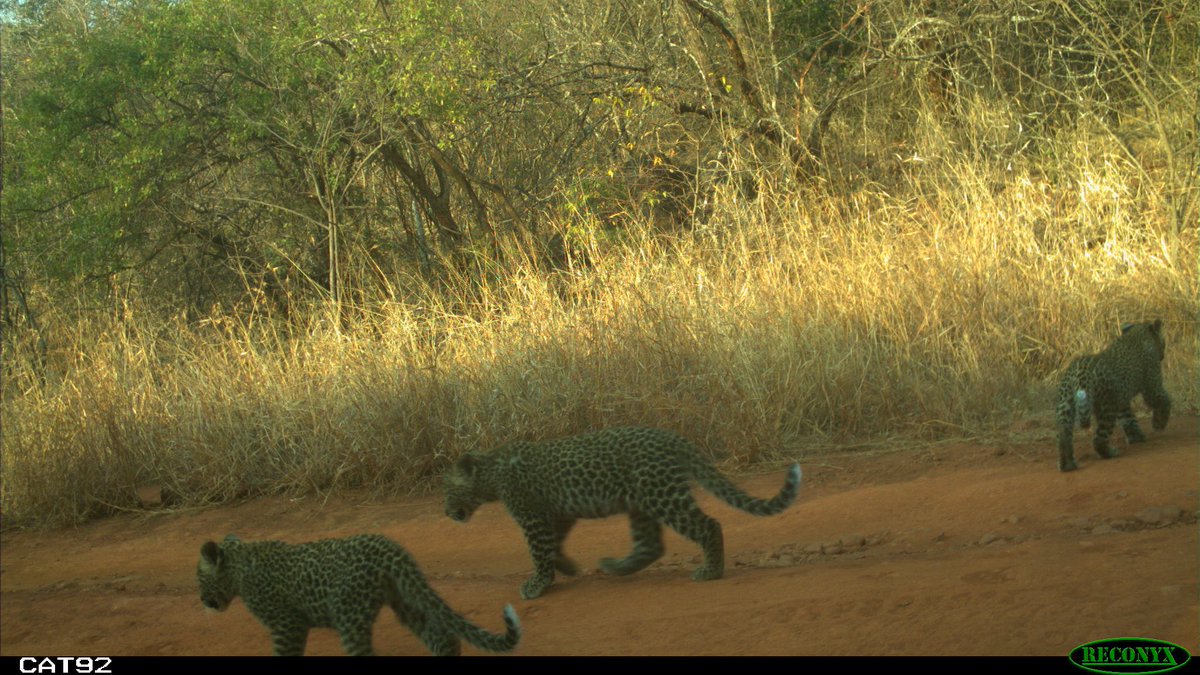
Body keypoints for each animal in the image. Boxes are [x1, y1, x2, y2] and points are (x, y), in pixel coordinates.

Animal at [196, 533, 521, 656]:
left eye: (199, 578)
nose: (201, 600)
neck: (238, 566)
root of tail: (388, 547)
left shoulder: (287, 624)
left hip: (349, 615)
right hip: (405, 601)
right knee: (443, 637)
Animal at [442, 426, 802, 599]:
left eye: (448, 492)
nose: (445, 512)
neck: (491, 474)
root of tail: (671, 436)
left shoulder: (532, 516)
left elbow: (539, 551)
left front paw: (538, 584)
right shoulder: (558, 513)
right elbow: (554, 543)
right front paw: (567, 566)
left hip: (661, 494)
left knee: (708, 524)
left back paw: (711, 571)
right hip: (641, 502)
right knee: (651, 545)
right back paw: (617, 567)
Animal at [1055, 319, 1171, 472]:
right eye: (1164, 341)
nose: (1163, 355)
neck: (1138, 334)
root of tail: (1080, 369)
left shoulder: (1121, 399)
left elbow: (1129, 419)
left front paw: (1136, 437)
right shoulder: (1152, 386)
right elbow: (1163, 400)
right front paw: (1159, 424)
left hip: (1066, 405)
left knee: (1064, 436)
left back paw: (1067, 465)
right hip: (1106, 406)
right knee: (1099, 439)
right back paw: (1111, 452)